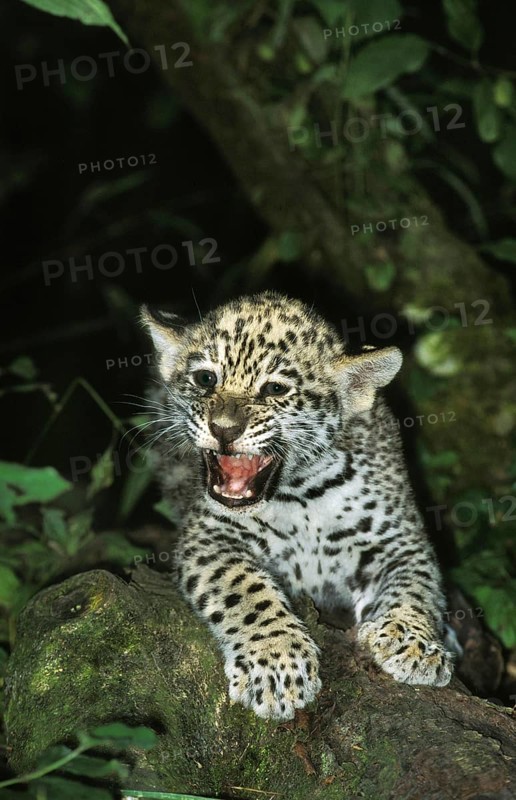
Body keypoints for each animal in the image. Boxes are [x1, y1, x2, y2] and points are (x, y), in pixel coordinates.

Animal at [140, 290, 454, 721]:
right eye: (206, 379)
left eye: (274, 389)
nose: (224, 429)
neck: (302, 494)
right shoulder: (208, 536)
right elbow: (244, 588)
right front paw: (276, 664)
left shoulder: (399, 540)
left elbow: (415, 588)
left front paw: (413, 643)